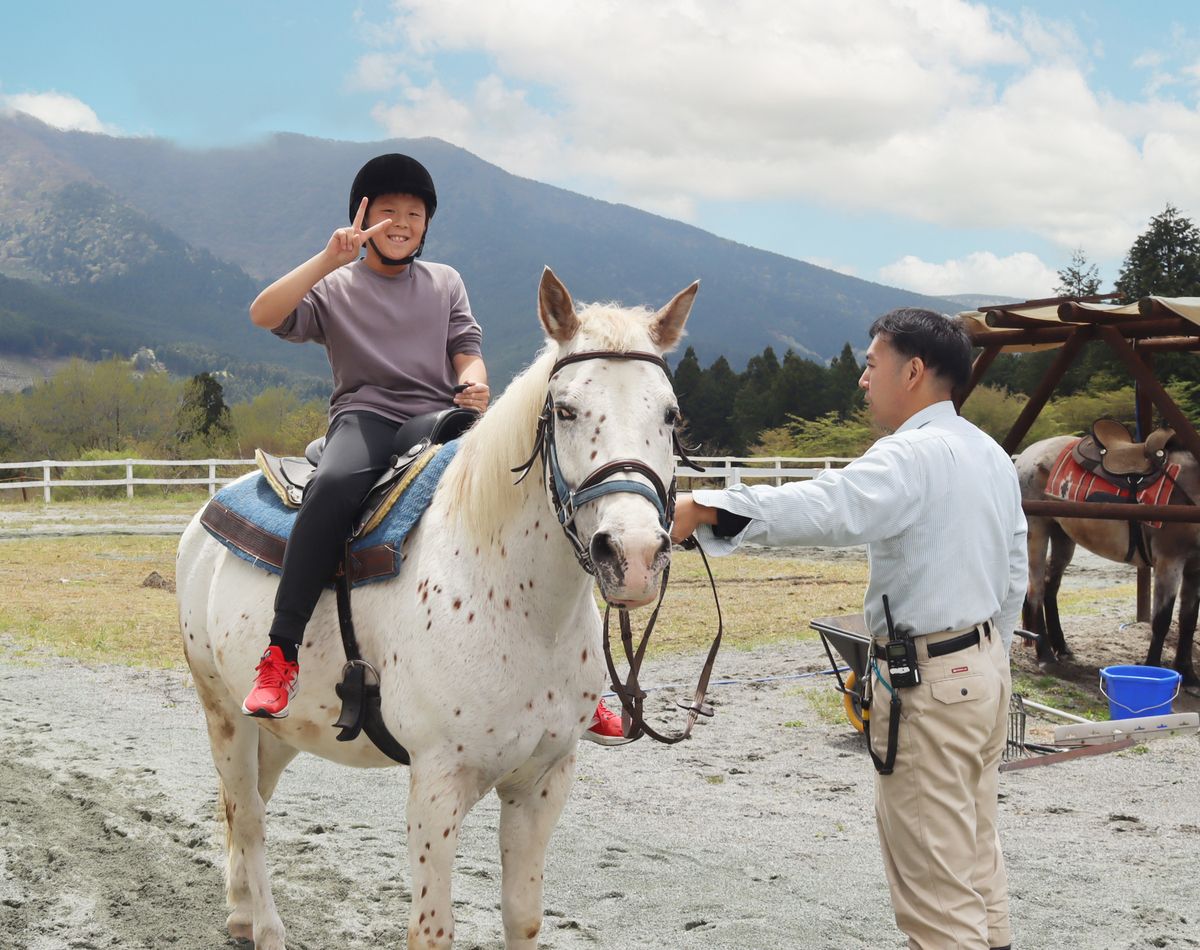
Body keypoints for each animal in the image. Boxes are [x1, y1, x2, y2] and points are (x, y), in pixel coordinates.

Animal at [175, 268, 699, 949]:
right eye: (564, 410)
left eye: (671, 414)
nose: (632, 554)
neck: (519, 606)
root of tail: (209, 513)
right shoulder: (436, 784)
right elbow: (432, 930)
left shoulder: (543, 780)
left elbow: (523, 916)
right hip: (223, 711)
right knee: (249, 814)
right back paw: (264, 926)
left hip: (280, 730)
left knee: (247, 802)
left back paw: (239, 911)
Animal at [1015, 434, 1200, 693]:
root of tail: (1026, 455)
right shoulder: (1169, 562)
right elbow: (1162, 620)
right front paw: (1153, 669)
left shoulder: (1194, 568)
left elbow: (1188, 620)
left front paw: (1189, 674)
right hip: (1037, 530)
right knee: (1036, 591)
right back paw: (1046, 655)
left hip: (1063, 535)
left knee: (1050, 587)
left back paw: (1061, 647)